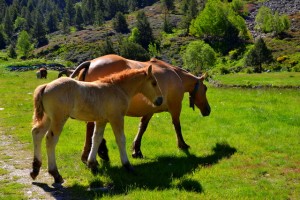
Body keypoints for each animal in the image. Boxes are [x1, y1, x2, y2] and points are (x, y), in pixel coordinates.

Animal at [29, 65, 163, 184]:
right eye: (154, 83)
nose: (160, 100)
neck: (118, 89)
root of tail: (46, 86)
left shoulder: (101, 121)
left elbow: (96, 139)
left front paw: (92, 164)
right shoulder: (117, 118)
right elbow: (121, 140)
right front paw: (127, 165)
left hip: (48, 118)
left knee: (37, 134)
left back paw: (35, 170)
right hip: (58, 119)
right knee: (50, 140)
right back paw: (55, 174)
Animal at [70, 54, 211, 162]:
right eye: (205, 88)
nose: (208, 110)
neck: (176, 75)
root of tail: (90, 62)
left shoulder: (149, 111)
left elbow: (142, 128)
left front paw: (136, 150)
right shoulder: (176, 106)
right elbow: (177, 126)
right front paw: (182, 144)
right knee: (90, 127)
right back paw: (93, 153)